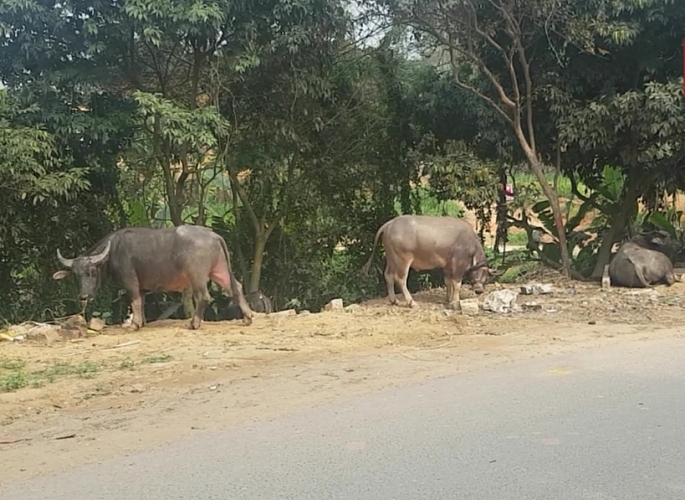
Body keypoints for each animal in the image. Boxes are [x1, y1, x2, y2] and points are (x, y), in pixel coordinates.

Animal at [52, 225, 252, 330]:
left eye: (92, 272)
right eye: (76, 275)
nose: (83, 296)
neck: (113, 250)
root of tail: (213, 235)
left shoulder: (130, 280)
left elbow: (134, 301)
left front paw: (134, 325)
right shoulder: (141, 286)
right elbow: (140, 302)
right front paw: (141, 322)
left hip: (197, 276)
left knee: (203, 296)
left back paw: (194, 323)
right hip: (219, 270)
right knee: (236, 287)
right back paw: (248, 317)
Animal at [360, 215, 500, 308]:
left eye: (487, 276)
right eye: (483, 273)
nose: (479, 290)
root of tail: (389, 224)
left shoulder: (447, 266)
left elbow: (447, 282)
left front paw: (448, 299)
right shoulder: (458, 264)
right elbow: (456, 283)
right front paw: (455, 302)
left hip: (391, 258)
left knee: (388, 275)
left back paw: (395, 301)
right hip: (402, 259)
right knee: (400, 279)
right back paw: (412, 303)